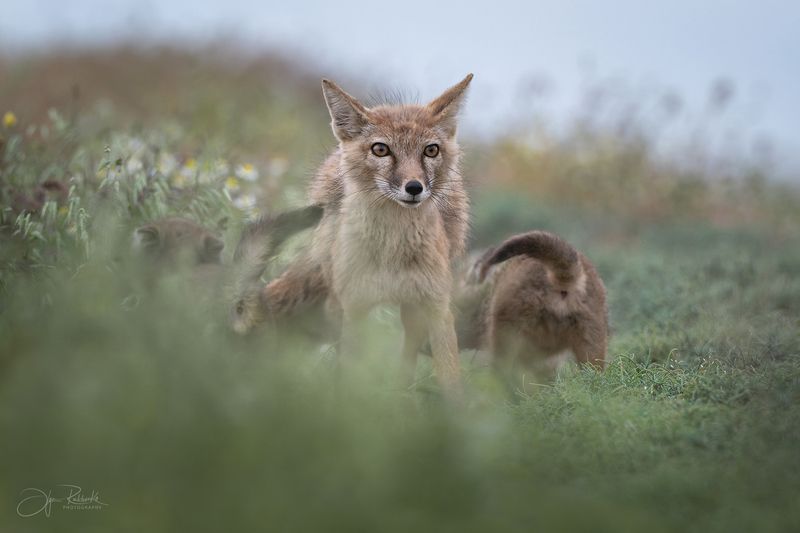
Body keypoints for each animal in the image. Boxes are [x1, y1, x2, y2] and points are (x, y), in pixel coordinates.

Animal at [290, 74, 474, 395]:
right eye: (381, 150)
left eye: (431, 150)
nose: (414, 188)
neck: (393, 249)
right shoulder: (355, 308)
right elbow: (351, 377)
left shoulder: (437, 308)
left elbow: (451, 382)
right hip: (339, 304)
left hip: (413, 313)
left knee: (408, 355)